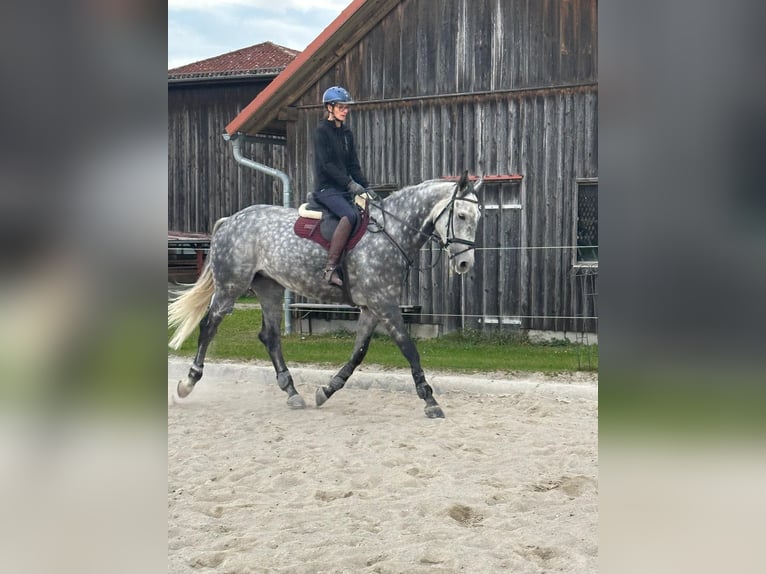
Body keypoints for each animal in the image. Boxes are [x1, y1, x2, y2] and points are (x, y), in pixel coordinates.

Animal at [168, 171, 482, 418]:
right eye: (461, 215)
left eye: (478, 217)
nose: (465, 264)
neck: (391, 231)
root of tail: (231, 220)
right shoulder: (384, 303)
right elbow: (408, 347)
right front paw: (430, 400)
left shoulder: (372, 307)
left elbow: (358, 353)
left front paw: (327, 390)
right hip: (230, 286)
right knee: (209, 326)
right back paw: (187, 383)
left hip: (269, 288)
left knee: (270, 336)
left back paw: (293, 392)